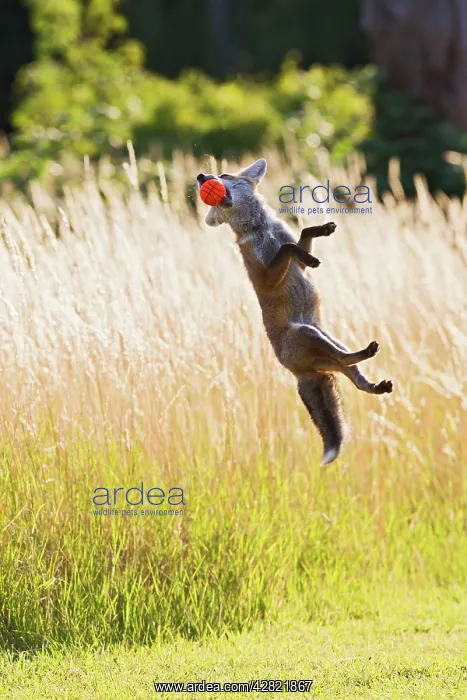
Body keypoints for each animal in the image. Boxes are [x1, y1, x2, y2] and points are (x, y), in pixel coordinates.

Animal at [197, 158, 393, 465]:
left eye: (224, 174)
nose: (201, 176)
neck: (261, 229)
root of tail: (298, 373)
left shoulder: (292, 260)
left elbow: (300, 237)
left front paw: (320, 231)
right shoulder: (263, 276)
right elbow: (289, 248)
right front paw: (310, 256)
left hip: (329, 342)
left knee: (356, 378)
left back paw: (376, 384)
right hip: (310, 334)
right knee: (347, 361)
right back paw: (365, 354)